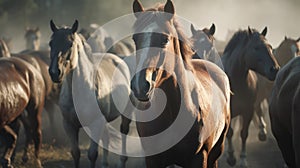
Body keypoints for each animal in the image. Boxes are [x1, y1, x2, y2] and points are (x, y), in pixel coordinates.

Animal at [48, 19, 132, 167]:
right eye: (51, 43)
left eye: (70, 44)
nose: (54, 72)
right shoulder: (69, 126)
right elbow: (75, 153)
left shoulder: (96, 124)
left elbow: (92, 155)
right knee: (106, 137)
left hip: (124, 114)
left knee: (123, 132)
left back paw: (122, 161)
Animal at [131, 0, 230, 167]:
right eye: (135, 39)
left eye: (165, 39)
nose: (140, 85)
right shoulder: (153, 160)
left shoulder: (200, 158)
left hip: (216, 151)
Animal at [221, 26, 280, 167]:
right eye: (256, 47)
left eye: (270, 47)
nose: (275, 69)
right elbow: (229, 133)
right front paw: (231, 157)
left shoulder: (248, 110)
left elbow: (244, 133)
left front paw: (243, 160)